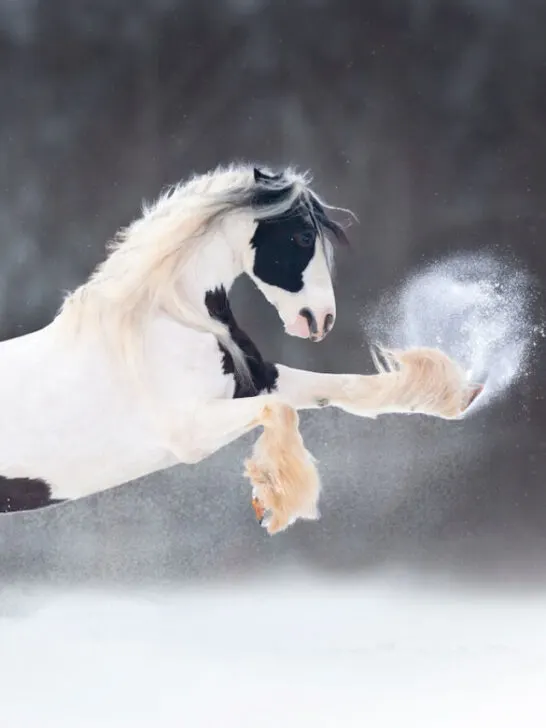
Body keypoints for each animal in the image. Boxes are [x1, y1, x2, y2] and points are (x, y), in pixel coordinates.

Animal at [0, 163, 481, 533]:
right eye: (302, 238)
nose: (321, 320)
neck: (167, 323)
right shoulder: (191, 432)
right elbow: (282, 412)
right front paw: (276, 499)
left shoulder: (255, 380)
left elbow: (343, 388)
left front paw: (456, 394)